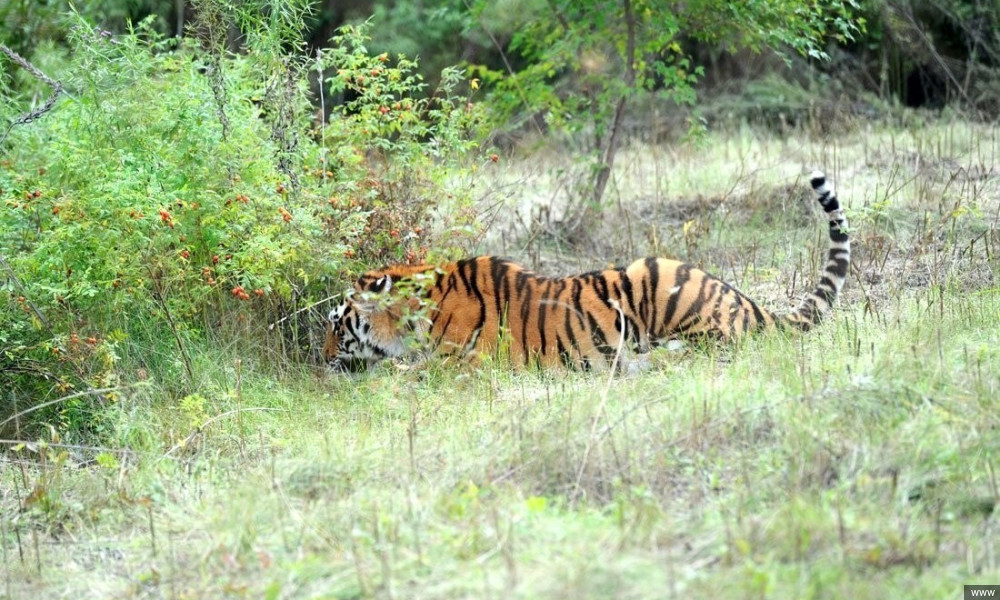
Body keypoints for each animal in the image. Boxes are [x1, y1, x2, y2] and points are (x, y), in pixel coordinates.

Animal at [324, 171, 848, 372]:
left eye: (337, 324)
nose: (322, 358)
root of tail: (745, 299)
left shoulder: (465, 365)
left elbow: (403, 374)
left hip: (664, 289)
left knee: (709, 347)